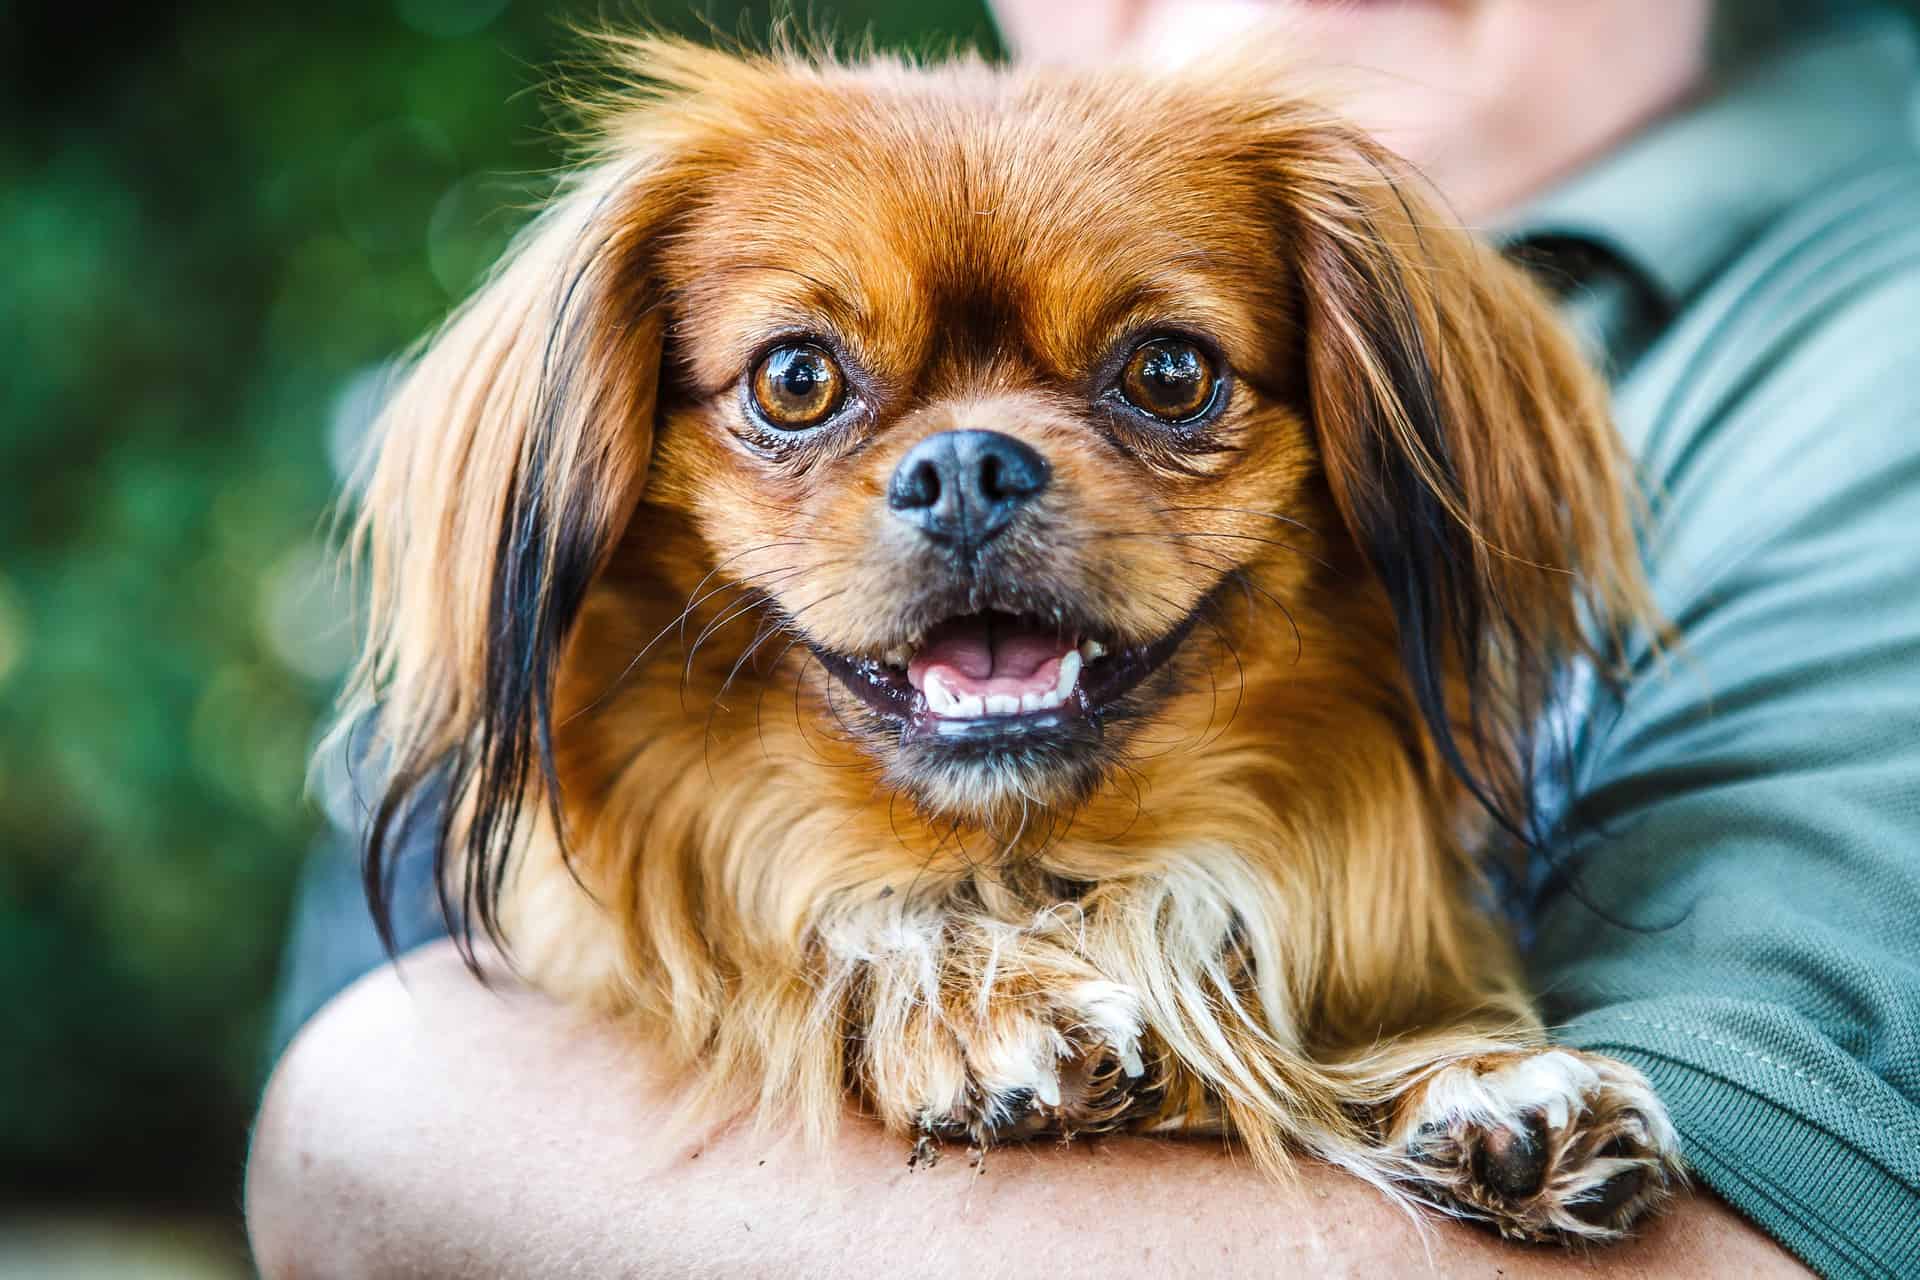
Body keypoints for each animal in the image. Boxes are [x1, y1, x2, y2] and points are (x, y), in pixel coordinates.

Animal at [345, 37, 1681, 1243]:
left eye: (1171, 370)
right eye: (793, 379)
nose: (966, 465)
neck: (1038, 866)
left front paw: (1471, 1073)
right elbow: (816, 929)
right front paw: (973, 999)